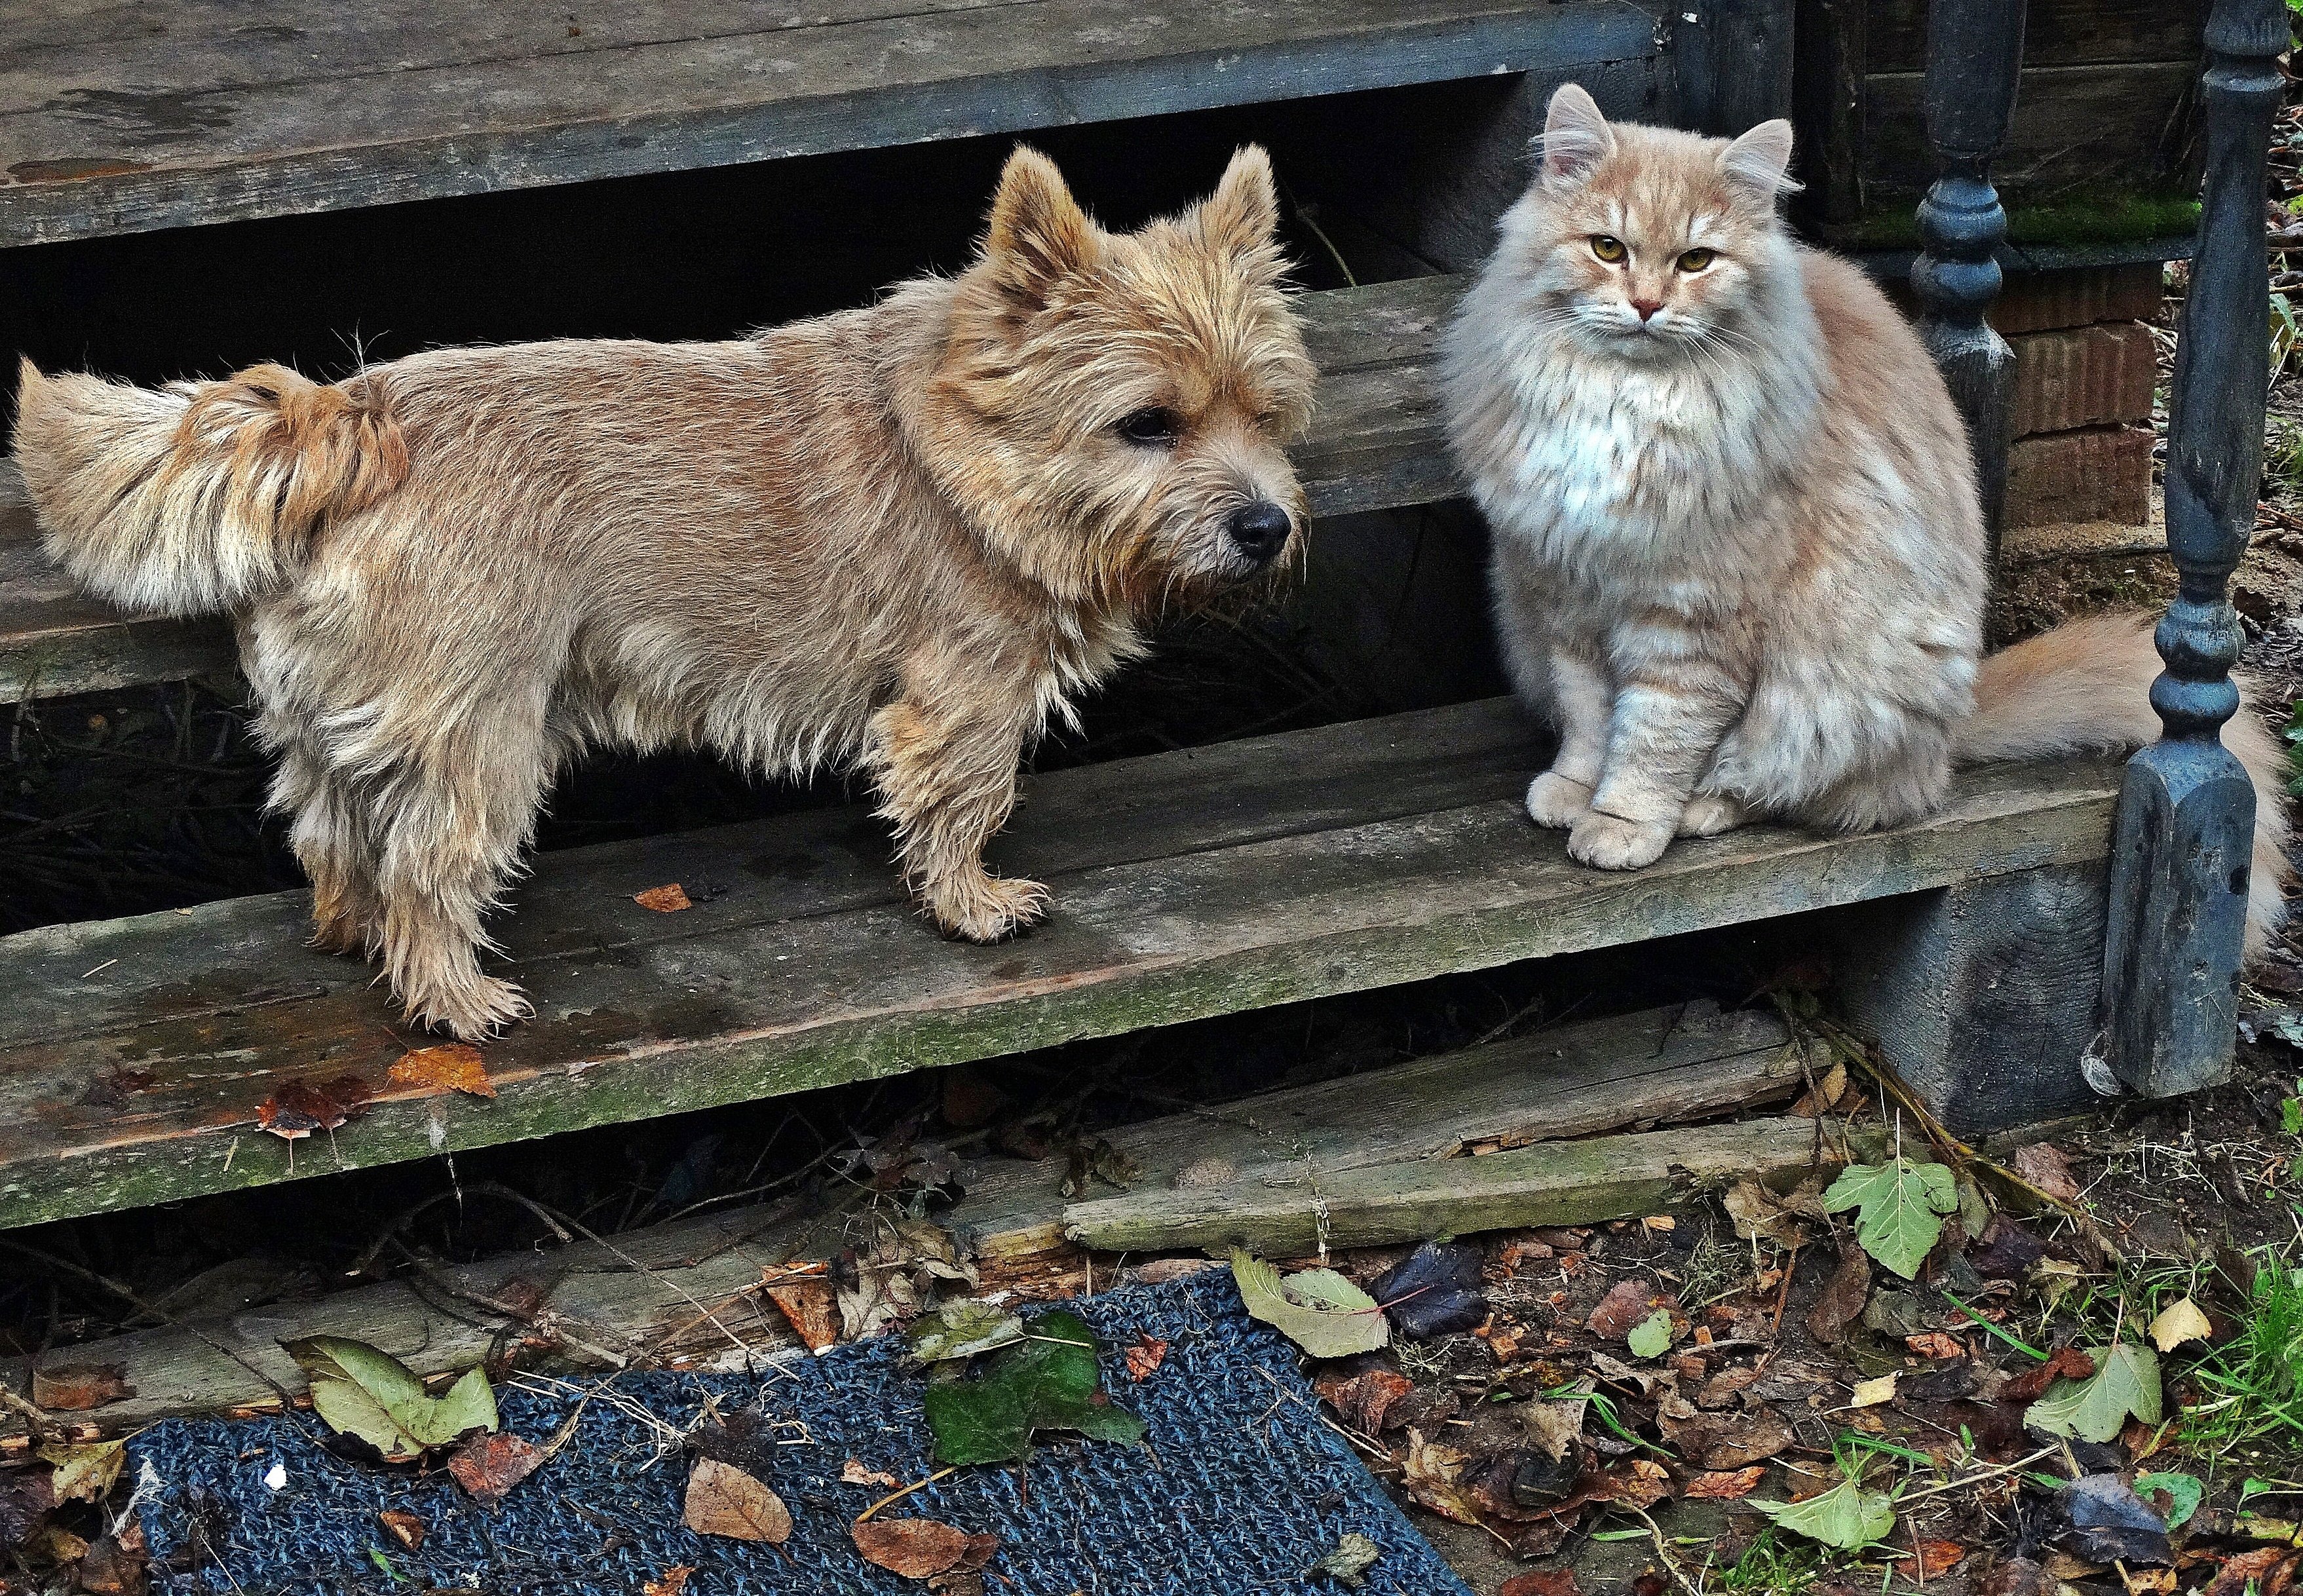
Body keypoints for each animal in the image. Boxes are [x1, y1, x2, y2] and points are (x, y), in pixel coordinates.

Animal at [22, 149, 1317, 1040]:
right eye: (1146, 424)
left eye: (1266, 414)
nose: (1266, 527)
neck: (969, 448)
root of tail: (358, 416)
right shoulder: (966, 695)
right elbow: (963, 800)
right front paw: (972, 903)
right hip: (482, 730)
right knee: (426, 865)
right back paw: (454, 999)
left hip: (332, 720)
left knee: (334, 831)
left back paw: (356, 937)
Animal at [1437, 84, 2284, 944]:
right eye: (1607, 249)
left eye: (1695, 261)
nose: (1643, 304)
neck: (1623, 402)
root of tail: (1950, 727)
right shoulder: (1558, 592)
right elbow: (1587, 717)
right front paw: (1573, 790)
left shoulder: (1690, 618)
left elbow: (1651, 737)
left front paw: (1620, 824)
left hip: (1823, 695)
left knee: (1800, 791)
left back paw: (1700, 810)